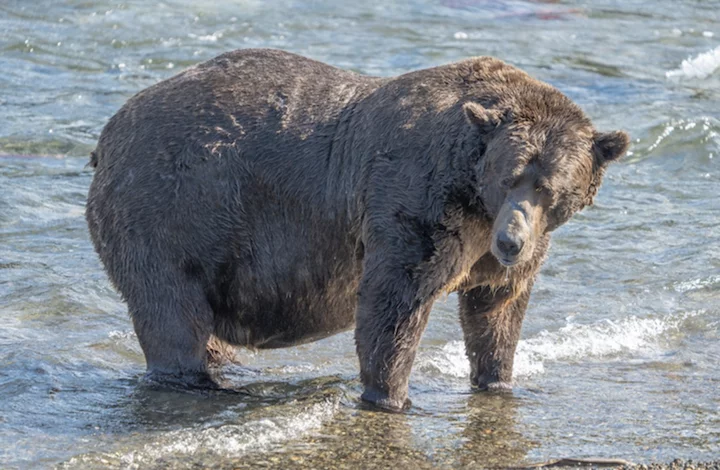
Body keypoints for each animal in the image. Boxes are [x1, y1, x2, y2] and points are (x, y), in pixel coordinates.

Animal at [84, 47, 628, 412]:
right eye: (510, 176)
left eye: (548, 187)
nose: (511, 241)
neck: (474, 195)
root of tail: (107, 134)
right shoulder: (414, 201)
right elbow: (394, 302)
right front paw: (390, 396)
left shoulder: (493, 248)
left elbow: (497, 309)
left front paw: (497, 381)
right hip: (172, 208)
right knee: (172, 310)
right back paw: (196, 381)